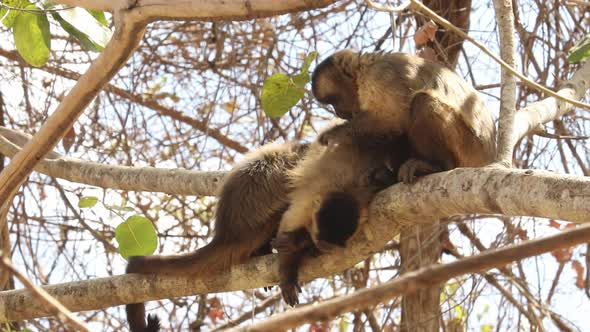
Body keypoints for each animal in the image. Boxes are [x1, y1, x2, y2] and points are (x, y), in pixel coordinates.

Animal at [312, 50, 498, 183]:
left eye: (334, 101)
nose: (339, 113)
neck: (365, 67)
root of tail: (486, 159)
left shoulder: (379, 75)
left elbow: (394, 119)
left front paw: (333, 134)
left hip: (468, 147)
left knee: (421, 102)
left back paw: (437, 166)